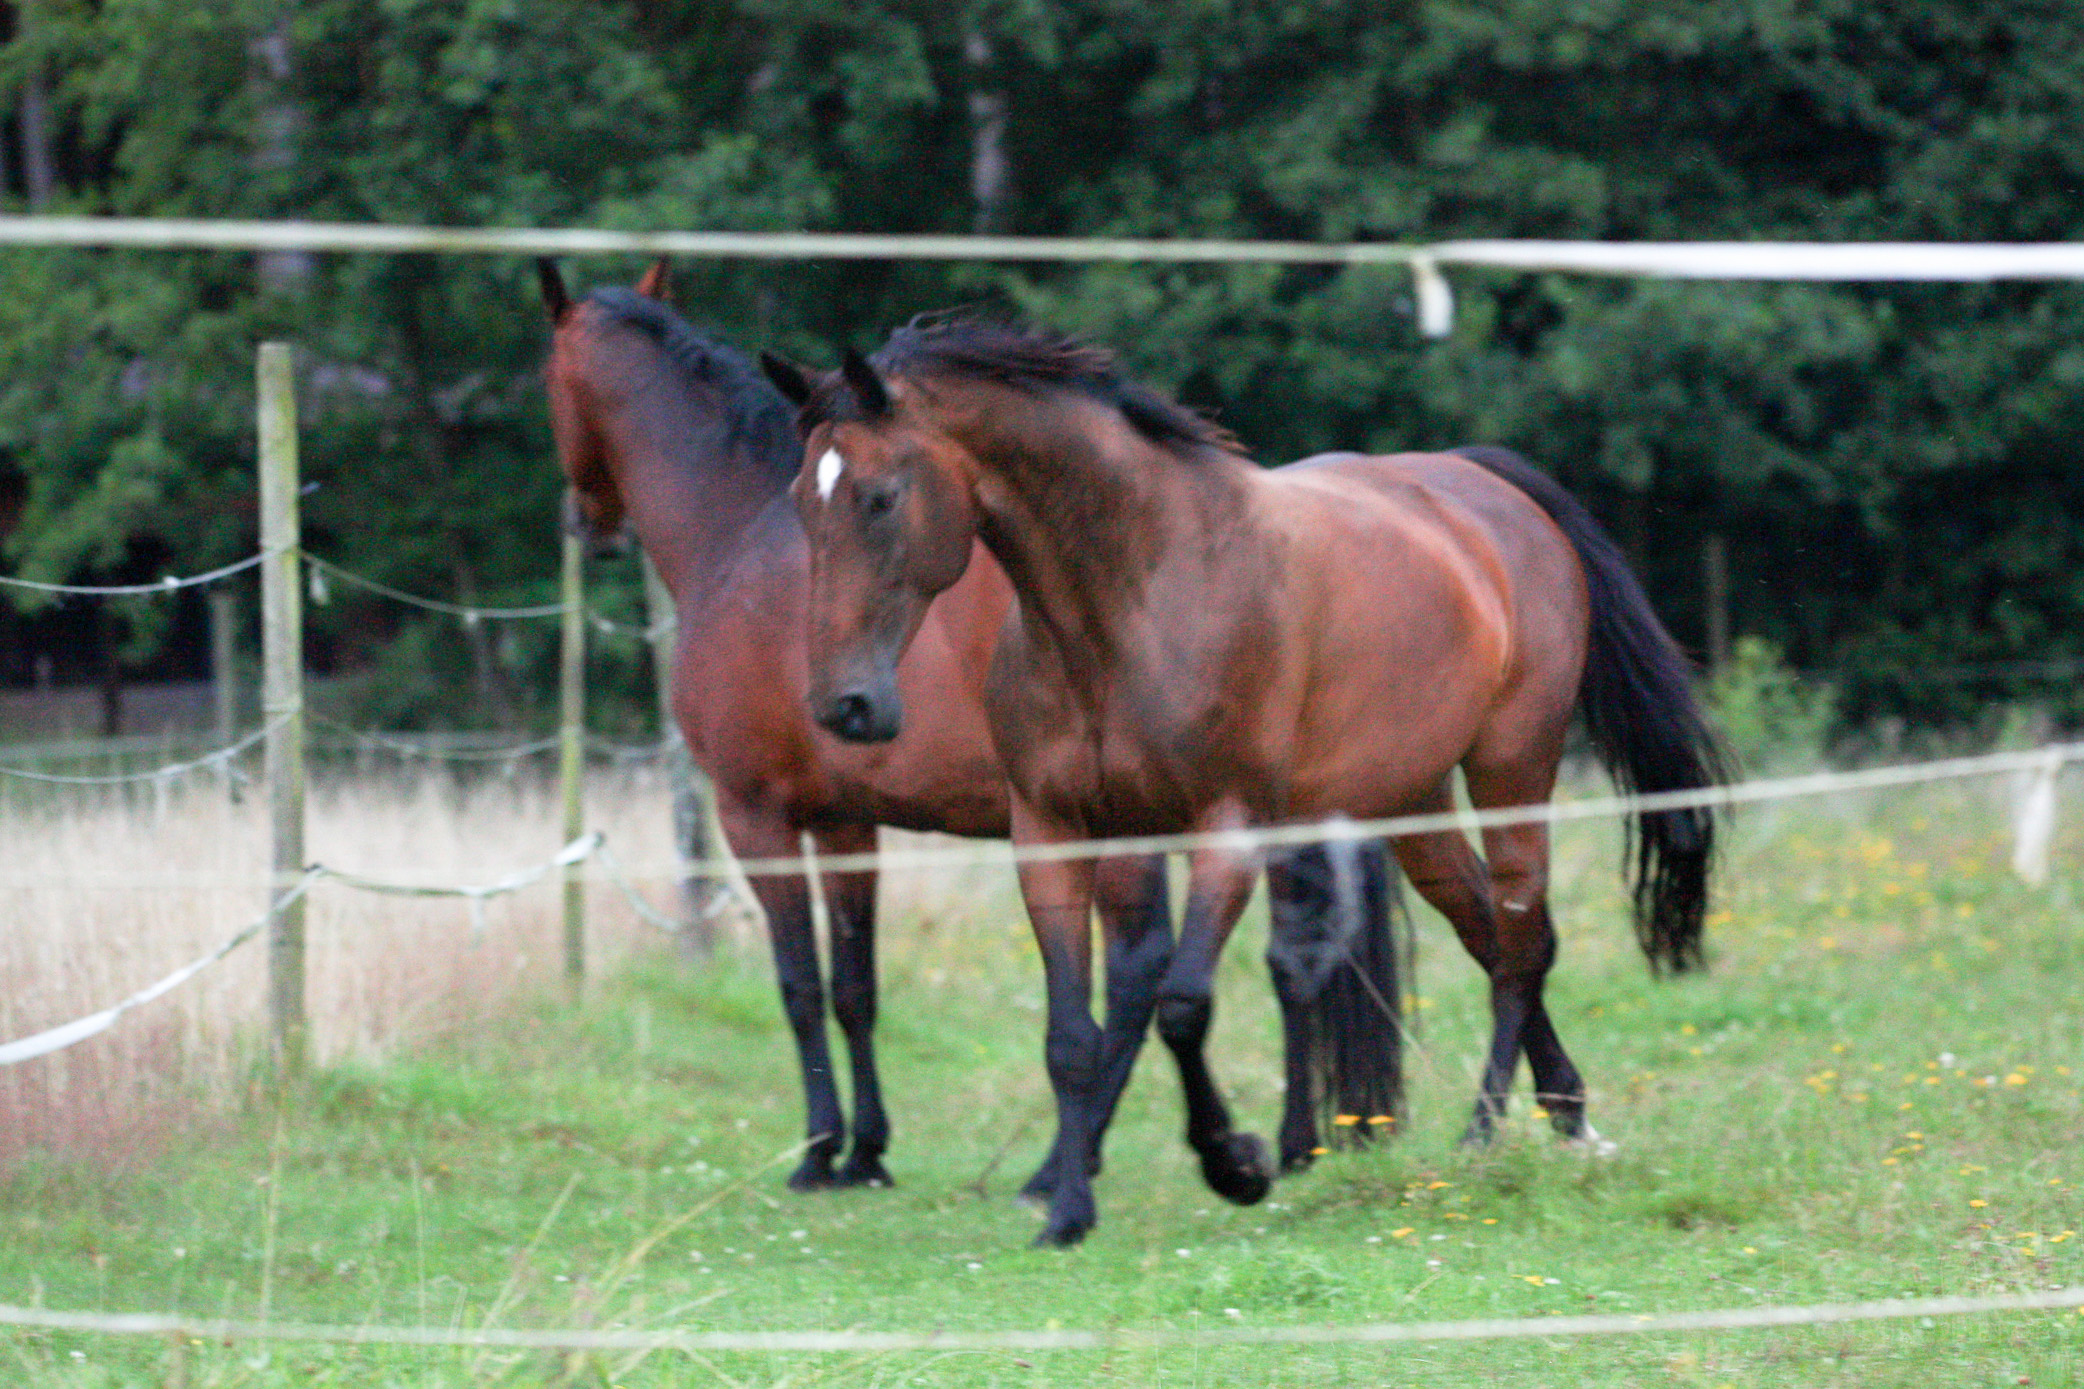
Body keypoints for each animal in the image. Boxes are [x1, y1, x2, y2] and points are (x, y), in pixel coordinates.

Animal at [546, 268, 1408, 1199]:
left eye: (550, 379)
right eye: (805, 503)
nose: (584, 522)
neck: (736, 534)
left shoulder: (756, 815)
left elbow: (800, 985)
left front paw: (819, 1150)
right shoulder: (846, 822)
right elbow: (855, 986)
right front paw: (867, 1149)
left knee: (1172, 967)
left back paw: (1100, 1158)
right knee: (1290, 957)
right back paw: (1287, 1142)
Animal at [766, 326, 1725, 1249]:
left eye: (881, 496)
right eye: (803, 502)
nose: (845, 704)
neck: (1130, 601)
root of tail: (1485, 486)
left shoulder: (1227, 825)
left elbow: (1182, 1006)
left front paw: (1238, 1164)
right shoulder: (1054, 832)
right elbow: (1072, 1036)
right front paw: (1067, 1211)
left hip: (1510, 771)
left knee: (1524, 943)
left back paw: (1485, 1133)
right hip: (1414, 805)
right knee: (1491, 934)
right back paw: (1565, 1113)